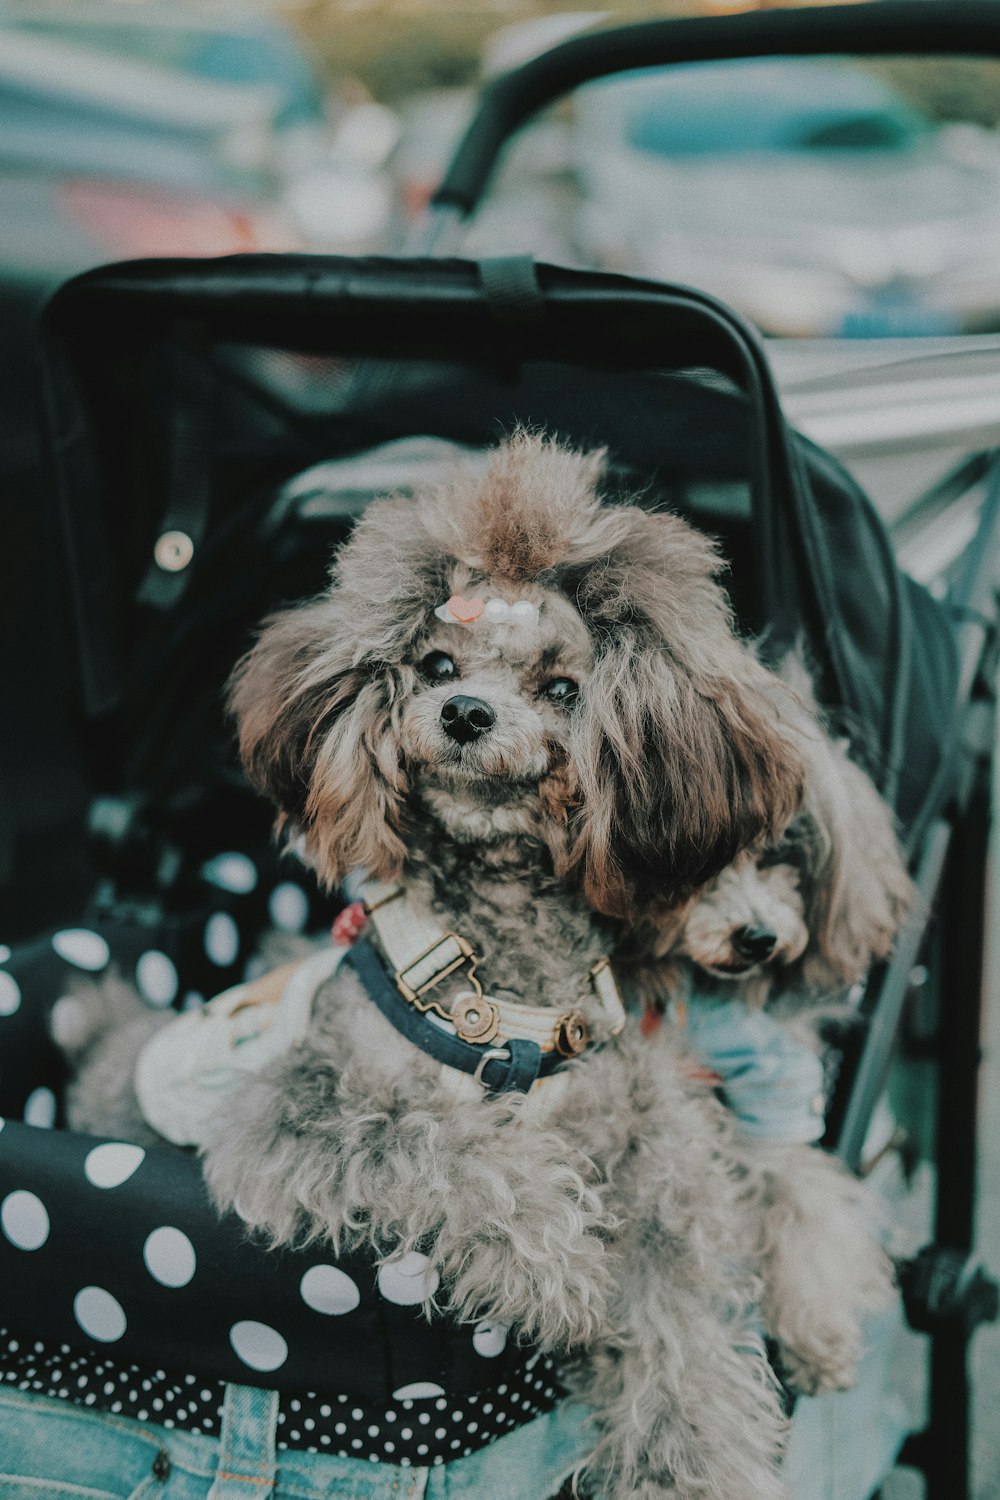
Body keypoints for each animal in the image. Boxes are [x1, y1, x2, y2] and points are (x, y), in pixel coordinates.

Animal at [64, 429, 839, 1494]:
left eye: (563, 688)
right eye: (434, 663)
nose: (466, 712)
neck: (505, 986)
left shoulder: (659, 1168)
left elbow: (683, 1340)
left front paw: (695, 1457)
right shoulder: (308, 1114)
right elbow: (454, 1149)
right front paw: (558, 1269)